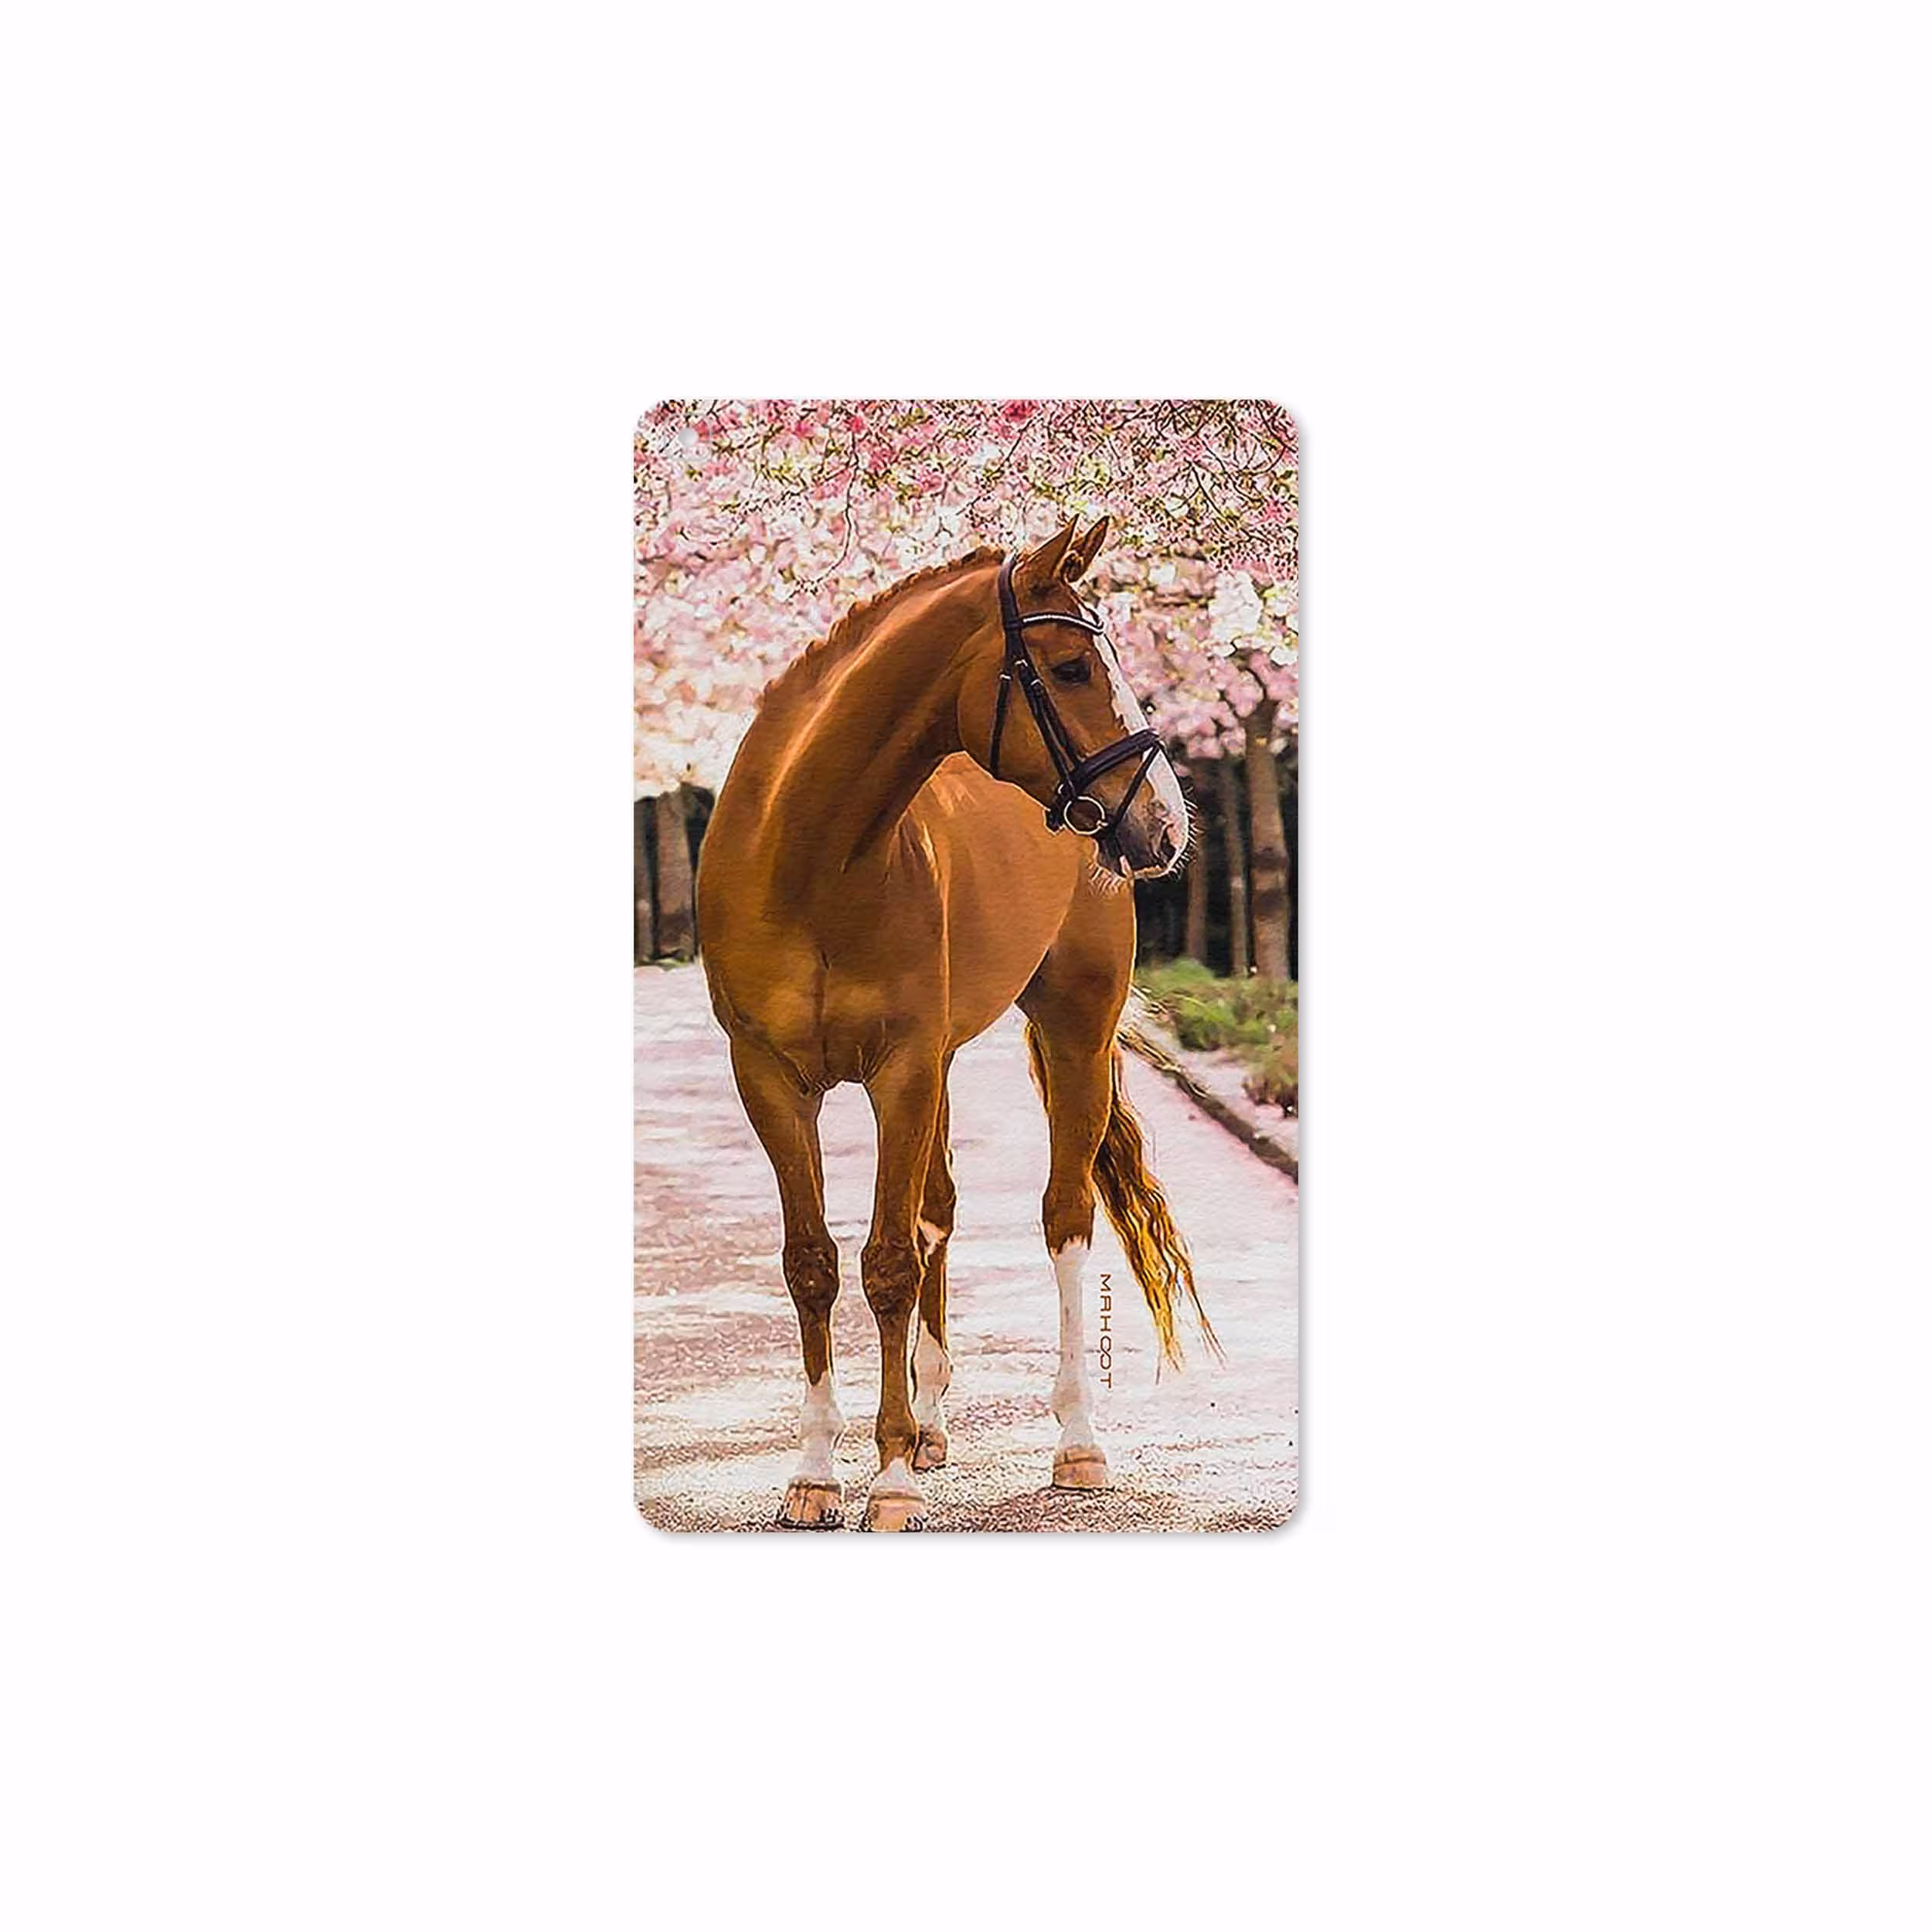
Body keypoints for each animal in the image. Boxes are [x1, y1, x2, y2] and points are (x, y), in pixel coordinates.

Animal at [696, 516, 1216, 1530]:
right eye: (1069, 667)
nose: (1167, 826)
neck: (808, 856)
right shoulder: (770, 1078)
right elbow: (814, 1262)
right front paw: (816, 1473)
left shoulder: (899, 1069)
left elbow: (889, 1261)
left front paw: (889, 1479)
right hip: (937, 1065)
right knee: (938, 1208)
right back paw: (932, 1423)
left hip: (1072, 1031)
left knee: (1063, 1216)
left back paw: (1075, 1442)